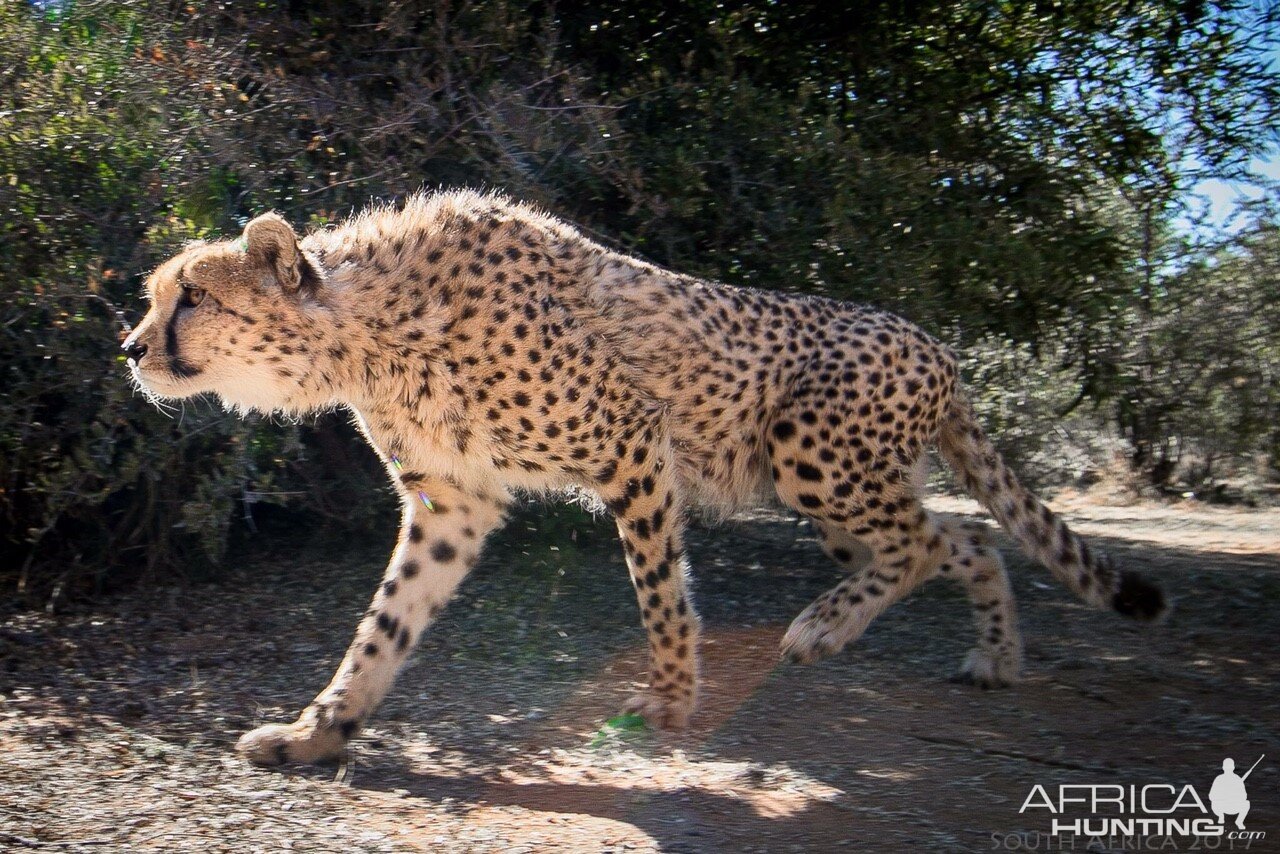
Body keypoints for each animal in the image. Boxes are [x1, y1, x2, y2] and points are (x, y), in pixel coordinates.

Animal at [122, 193, 1172, 768]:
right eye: (156, 295)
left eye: (194, 298)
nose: (130, 347)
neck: (367, 329)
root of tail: (939, 346)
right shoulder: (453, 500)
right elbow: (383, 624)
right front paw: (320, 731)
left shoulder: (632, 444)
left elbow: (660, 590)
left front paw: (670, 699)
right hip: (838, 497)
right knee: (968, 538)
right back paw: (993, 657)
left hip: (809, 455)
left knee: (930, 540)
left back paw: (825, 629)